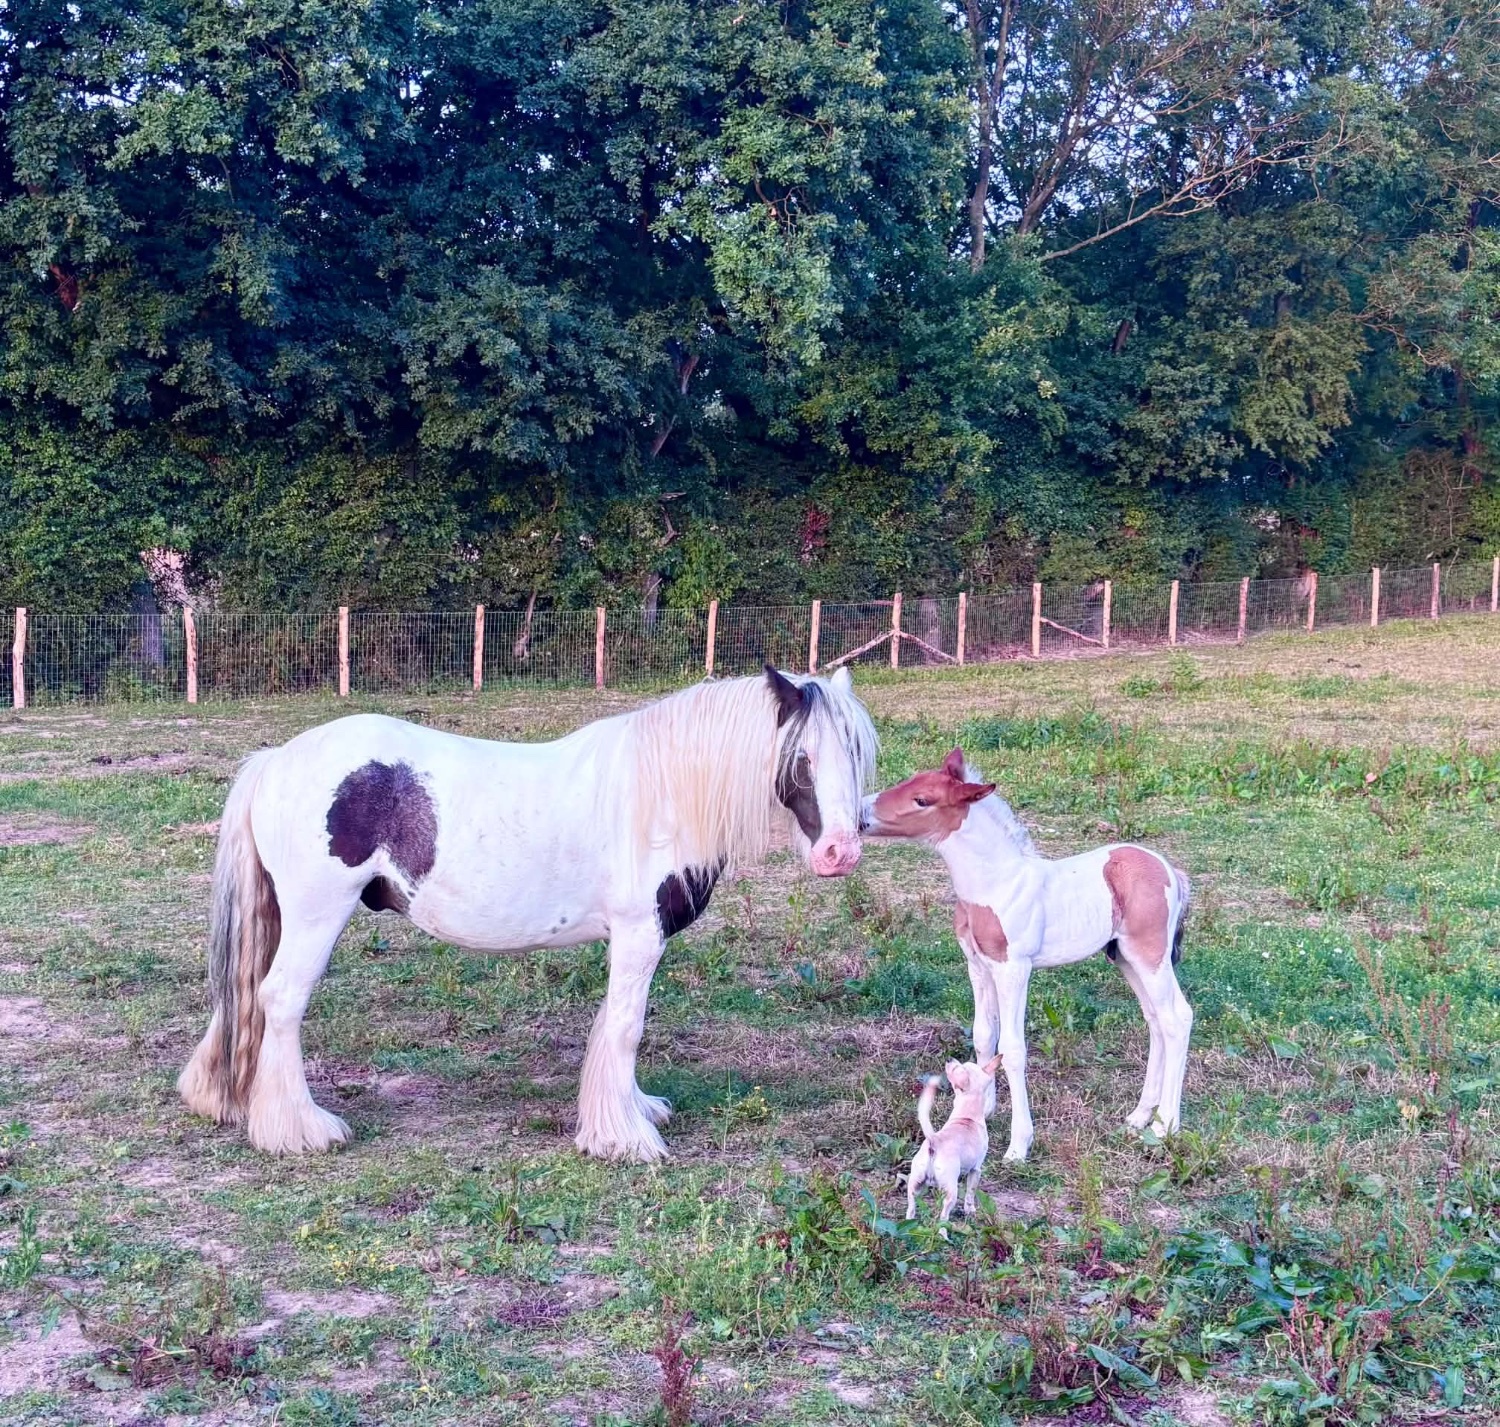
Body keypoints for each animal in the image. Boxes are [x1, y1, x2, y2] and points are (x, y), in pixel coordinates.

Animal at [177, 664, 877, 1163]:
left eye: (856, 753)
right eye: (801, 758)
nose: (840, 853)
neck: (663, 796)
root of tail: (275, 760)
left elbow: (616, 1024)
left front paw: (635, 1110)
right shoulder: (639, 934)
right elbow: (626, 1027)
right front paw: (624, 1138)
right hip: (317, 917)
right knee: (281, 1000)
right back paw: (300, 1130)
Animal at [861, 749, 1192, 1161]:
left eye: (922, 799)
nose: (859, 814)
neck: (995, 884)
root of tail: (1171, 871)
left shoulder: (1013, 969)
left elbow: (1013, 1048)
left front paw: (1019, 1144)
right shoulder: (977, 965)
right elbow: (984, 1034)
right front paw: (983, 1106)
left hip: (1150, 955)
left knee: (1177, 1018)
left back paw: (1165, 1126)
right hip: (1125, 958)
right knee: (1156, 1021)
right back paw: (1139, 1115)